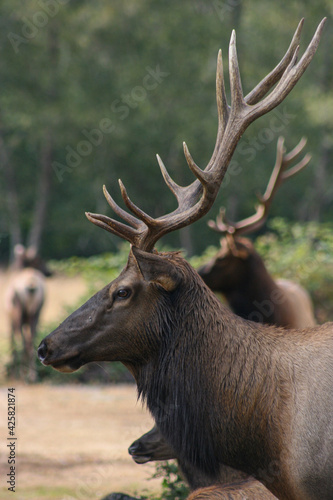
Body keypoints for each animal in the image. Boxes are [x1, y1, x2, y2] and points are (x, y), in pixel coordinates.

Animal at [5, 244, 51, 380]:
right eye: (39, 260)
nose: (49, 272)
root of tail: (31, 286)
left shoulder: (8, 319)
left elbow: (12, 341)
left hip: (19, 313)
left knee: (21, 340)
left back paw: (23, 373)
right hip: (35, 313)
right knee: (31, 340)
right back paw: (32, 374)